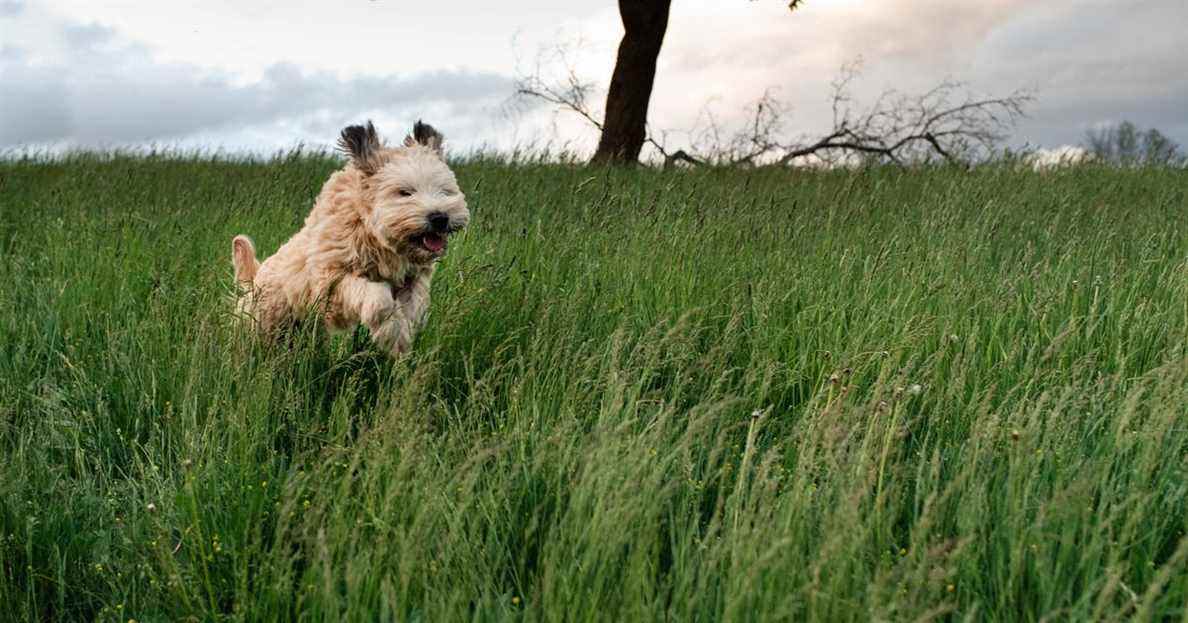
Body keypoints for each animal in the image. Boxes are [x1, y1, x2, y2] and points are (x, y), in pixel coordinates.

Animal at [229, 120, 470, 354]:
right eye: (405, 192)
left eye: (444, 191)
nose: (440, 217)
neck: (370, 231)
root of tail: (255, 278)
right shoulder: (331, 283)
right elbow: (379, 298)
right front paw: (388, 330)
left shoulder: (412, 280)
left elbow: (413, 306)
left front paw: (400, 336)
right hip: (262, 323)